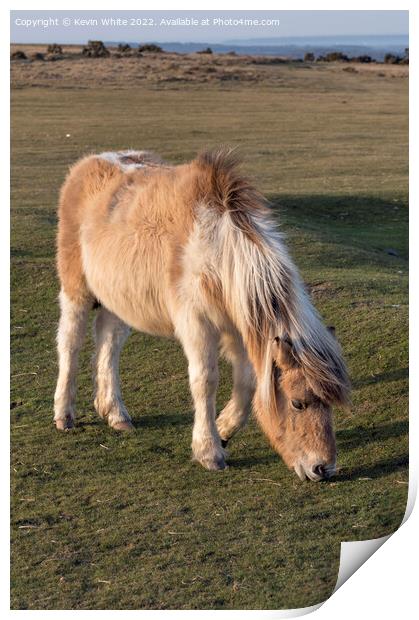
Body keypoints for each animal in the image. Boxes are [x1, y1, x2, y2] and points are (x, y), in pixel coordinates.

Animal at [53, 148, 352, 482]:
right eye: (298, 403)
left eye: (331, 402)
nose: (323, 468)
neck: (220, 250)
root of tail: (92, 161)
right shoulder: (197, 324)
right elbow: (205, 381)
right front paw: (209, 450)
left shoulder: (238, 328)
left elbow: (247, 383)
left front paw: (223, 429)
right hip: (76, 290)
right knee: (70, 343)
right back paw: (64, 414)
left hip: (118, 299)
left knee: (109, 344)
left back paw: (115, 413)